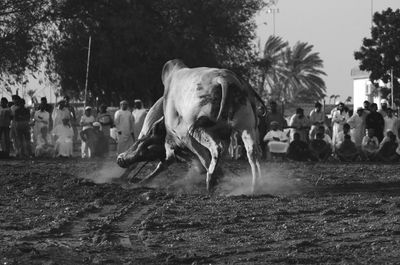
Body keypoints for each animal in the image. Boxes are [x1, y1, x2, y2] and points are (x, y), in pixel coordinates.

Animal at [117, 59, 264, 192]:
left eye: (142, 143)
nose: (120, 159)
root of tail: (224, 79)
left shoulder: (183, 136)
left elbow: (199, 159)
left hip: (196, 128)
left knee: (216, 148)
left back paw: (210, 179)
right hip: (246, 128)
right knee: (253, 153)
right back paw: (255, 186)